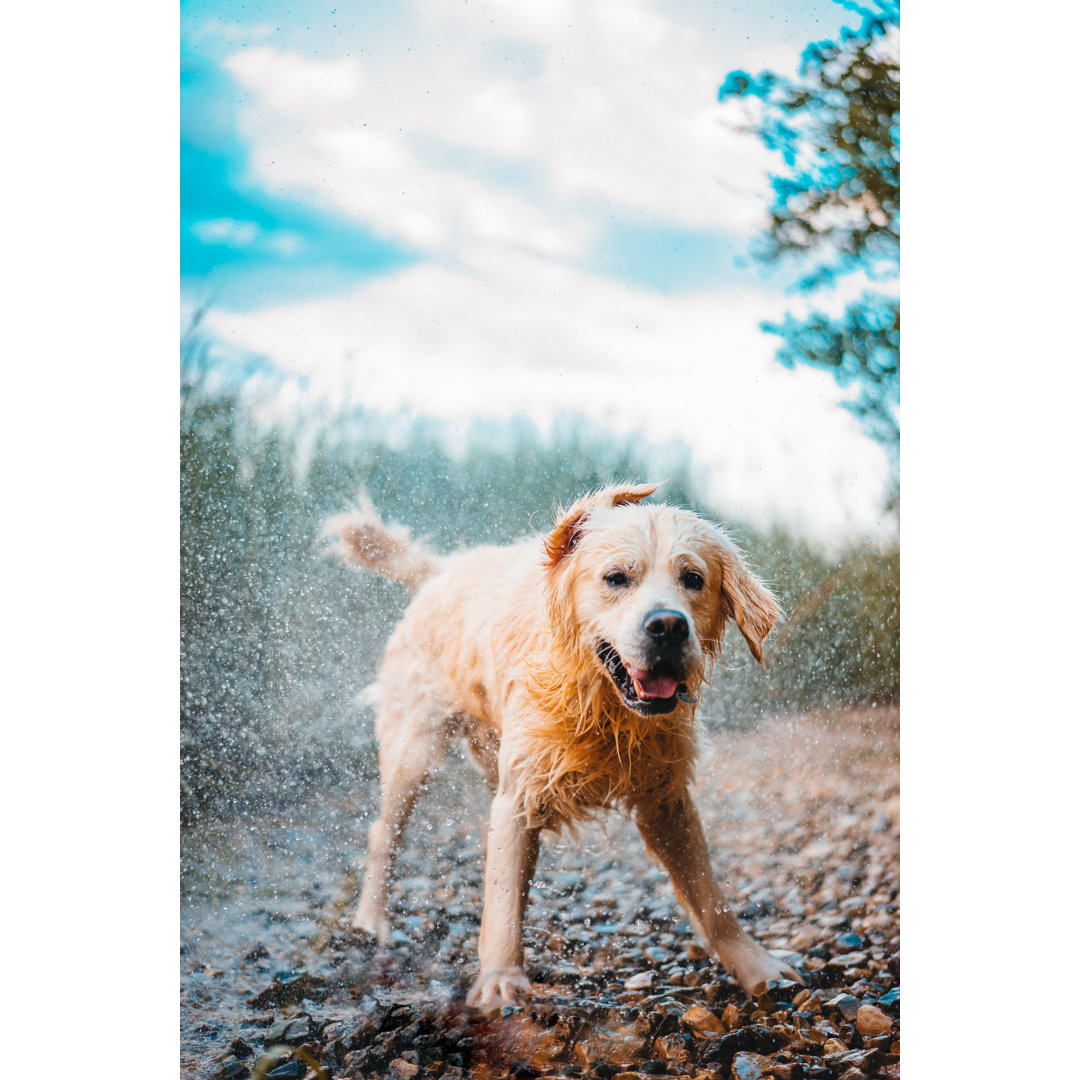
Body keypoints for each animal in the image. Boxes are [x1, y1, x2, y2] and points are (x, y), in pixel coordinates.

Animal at [324, 486, 807, 1006]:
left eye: (693, 579)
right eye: (616, 578)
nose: (668, 626)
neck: (603, 707)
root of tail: (442, 570)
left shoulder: (667, 799)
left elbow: (712, 901)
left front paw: (757, 967)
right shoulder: (519, 795)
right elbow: (502, 903)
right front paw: (500, 981)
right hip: (414, 749)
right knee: (383, 834)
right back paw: (370, 919)